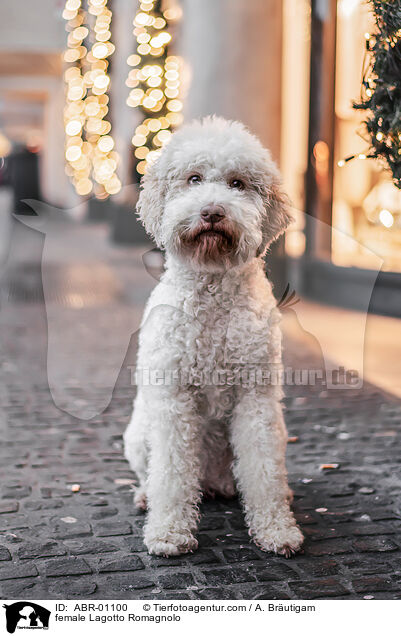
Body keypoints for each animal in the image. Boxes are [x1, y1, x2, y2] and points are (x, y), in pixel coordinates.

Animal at [123, 117, 302, 560]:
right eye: (193, 178)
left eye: (238, 183)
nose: (212, 212)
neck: (213, 289)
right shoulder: (173, 398)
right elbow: (171, 473)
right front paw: (169, 532)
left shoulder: (256, 398)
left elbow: (263, 470)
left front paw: (276, 528)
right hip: (137, 434)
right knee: (155, 473)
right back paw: (146, 496)